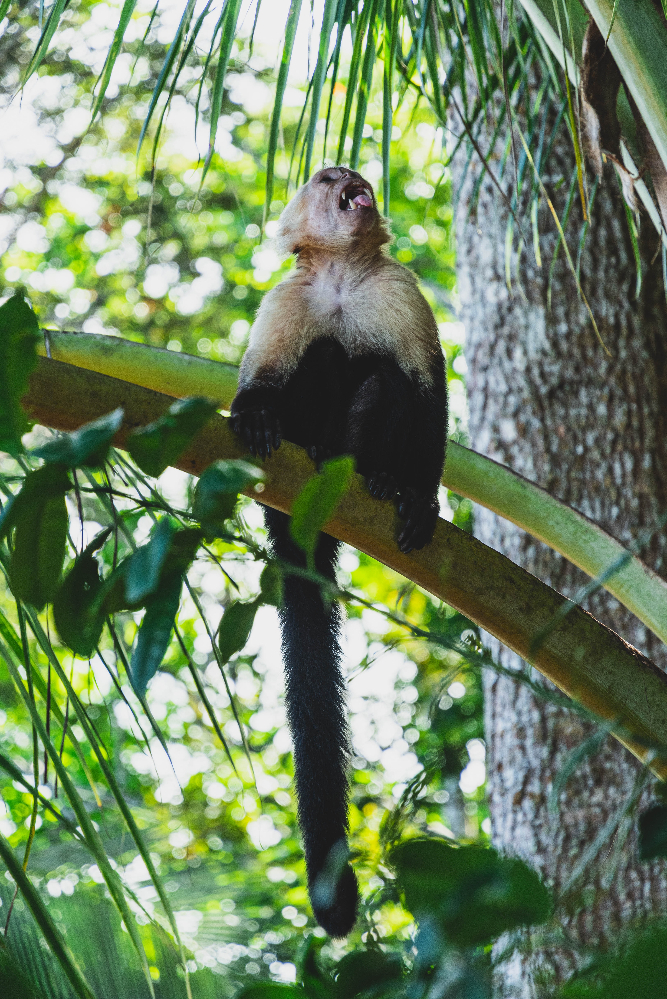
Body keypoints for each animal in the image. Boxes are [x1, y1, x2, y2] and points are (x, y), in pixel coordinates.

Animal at [230, 166, 447, 938]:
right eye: (326, 179)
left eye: (350, 177)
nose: (352, 179)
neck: (342, 275)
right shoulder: (285, 296)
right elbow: (259, 377)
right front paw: (255, 413)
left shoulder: (398, 289)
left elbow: (425, 390)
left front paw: (420, 496)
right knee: (322, 356)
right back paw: (308, 449)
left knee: (379, 377)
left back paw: (367, 471)